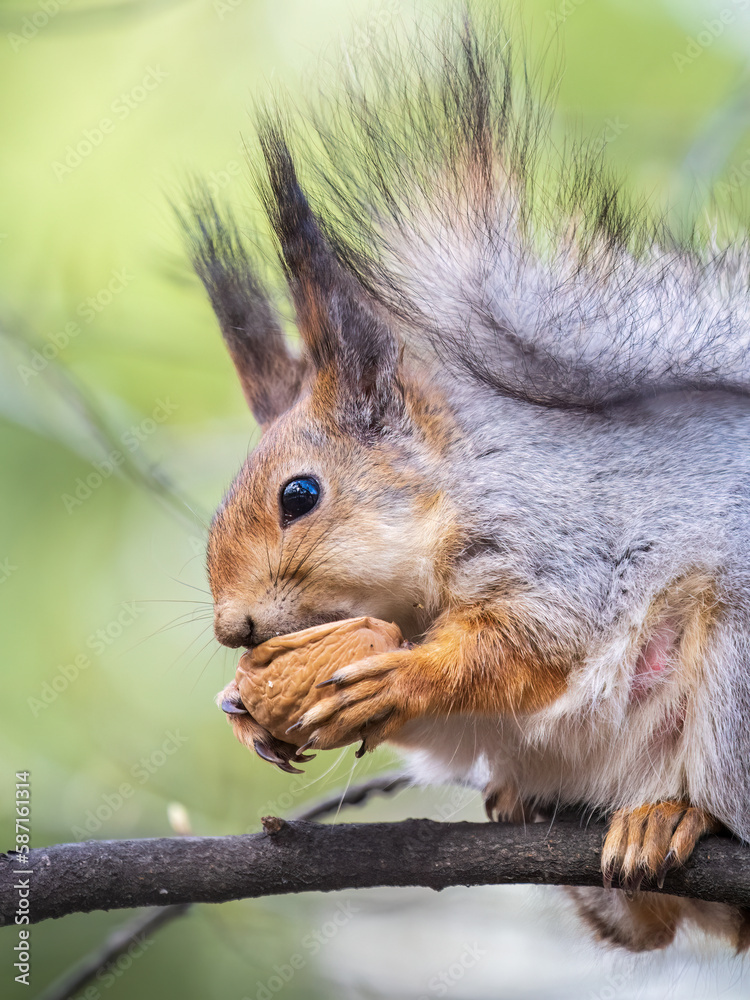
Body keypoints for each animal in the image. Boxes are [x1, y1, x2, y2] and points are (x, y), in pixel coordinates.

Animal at [180, 12, 750, 952]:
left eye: (299, 496)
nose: (234, 628)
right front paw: (242, 704)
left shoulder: (566, 543)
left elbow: (536, 642)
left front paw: (401, 676)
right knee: (644, 928)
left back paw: (677, 817)